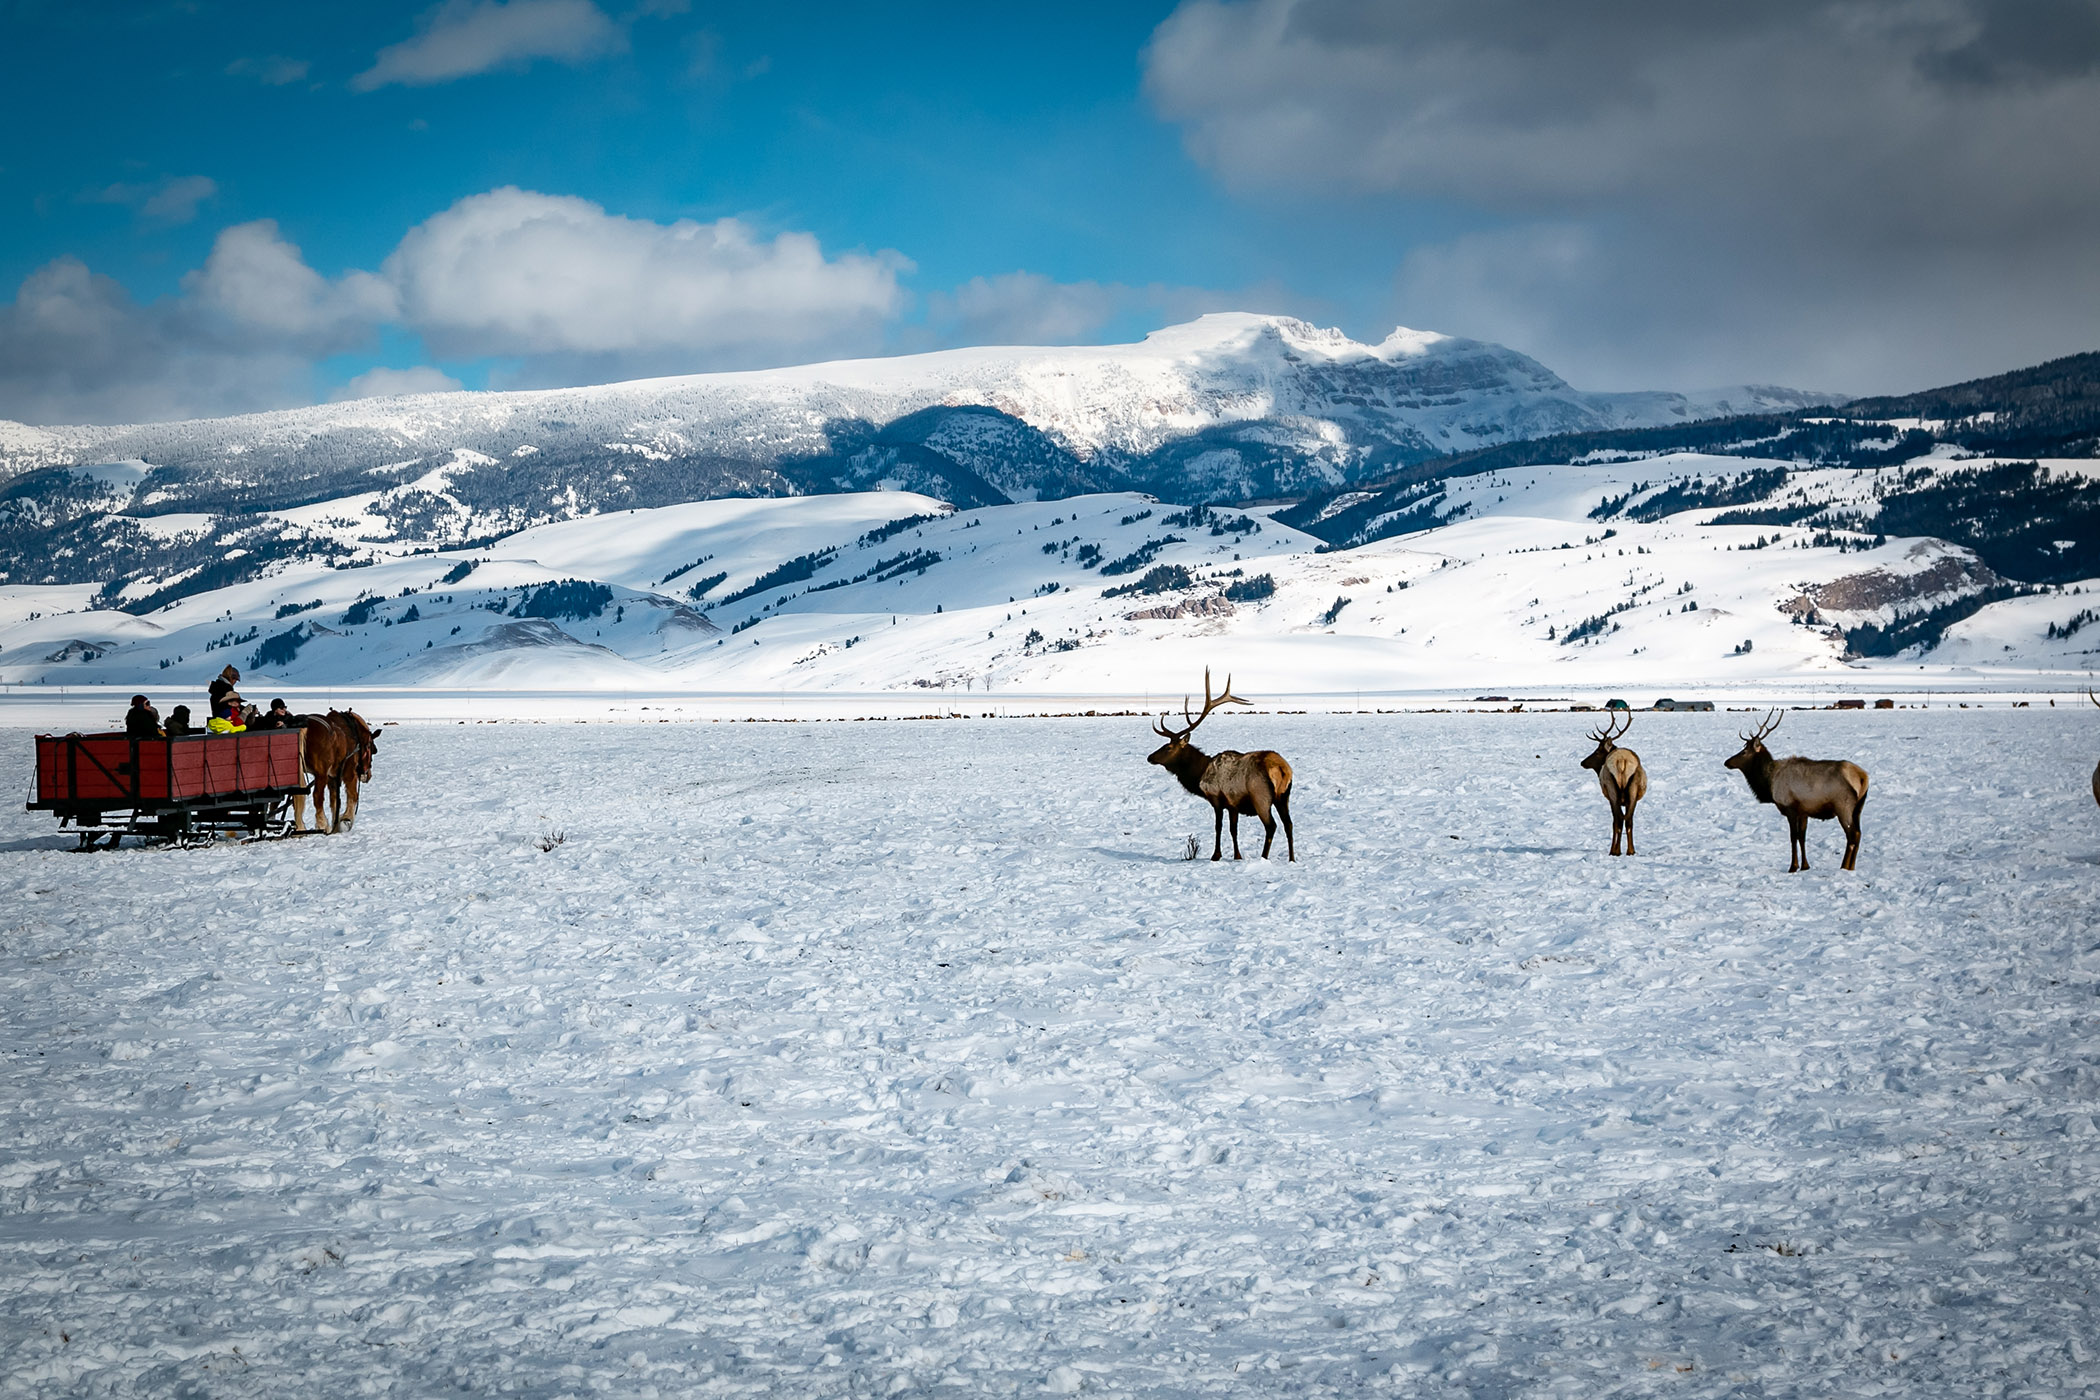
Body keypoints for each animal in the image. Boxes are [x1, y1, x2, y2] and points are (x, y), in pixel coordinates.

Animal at [1150, 667, 1293, 856]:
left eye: (1168, 747)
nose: (1150, 757)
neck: (1199, 775)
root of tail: (1282, 769)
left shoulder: (1217, 799)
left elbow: (1218, 827)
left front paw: (1216, 855)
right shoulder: (1233, 804)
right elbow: (1233, 830)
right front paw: (1237, 856)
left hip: (1260, 796)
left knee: (1271, 826)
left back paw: (1264, 857)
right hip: (1284, 796)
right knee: (1289, 824)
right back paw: (1292, 858)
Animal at [1579, 713, 1646, 856]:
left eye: (1597, 751)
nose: (1583, 762)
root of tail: (1621, 761)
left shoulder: (1609, 796)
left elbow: (1614, 821)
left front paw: (1612, 849)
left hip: (1611, 788)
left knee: (1618, 819)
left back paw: (1616, 851)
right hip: (1633, 789)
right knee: (1628, 820)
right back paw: (1630, 851)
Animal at [1721, 705, 1873, 868]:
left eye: (1744, 752)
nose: (1727, 762)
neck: (1769, 783)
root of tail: (1863, 777)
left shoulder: (1790, 808)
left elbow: (1793, 837)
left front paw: (1793, 866)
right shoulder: (1804, 811)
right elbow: (1802, 837)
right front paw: (1805, 866)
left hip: (1843, 806)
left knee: (1852, 835)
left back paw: (1844, 866)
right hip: (1858, 808)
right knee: (1858, 834)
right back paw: (1851, 867)